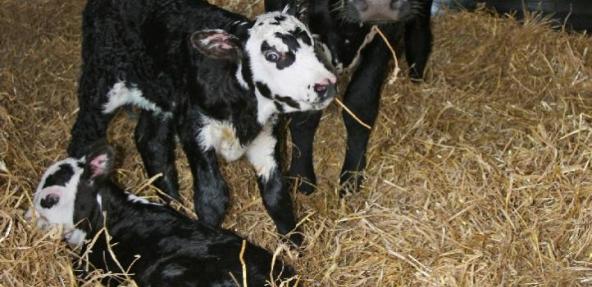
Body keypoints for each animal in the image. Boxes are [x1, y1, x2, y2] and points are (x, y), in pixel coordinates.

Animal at [266, 0, 432, 196]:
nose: (379, 5)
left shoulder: (384, 37)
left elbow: (359, 104)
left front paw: (352, 177)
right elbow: (303, 117)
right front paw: (302, 178)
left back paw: (417, 73)